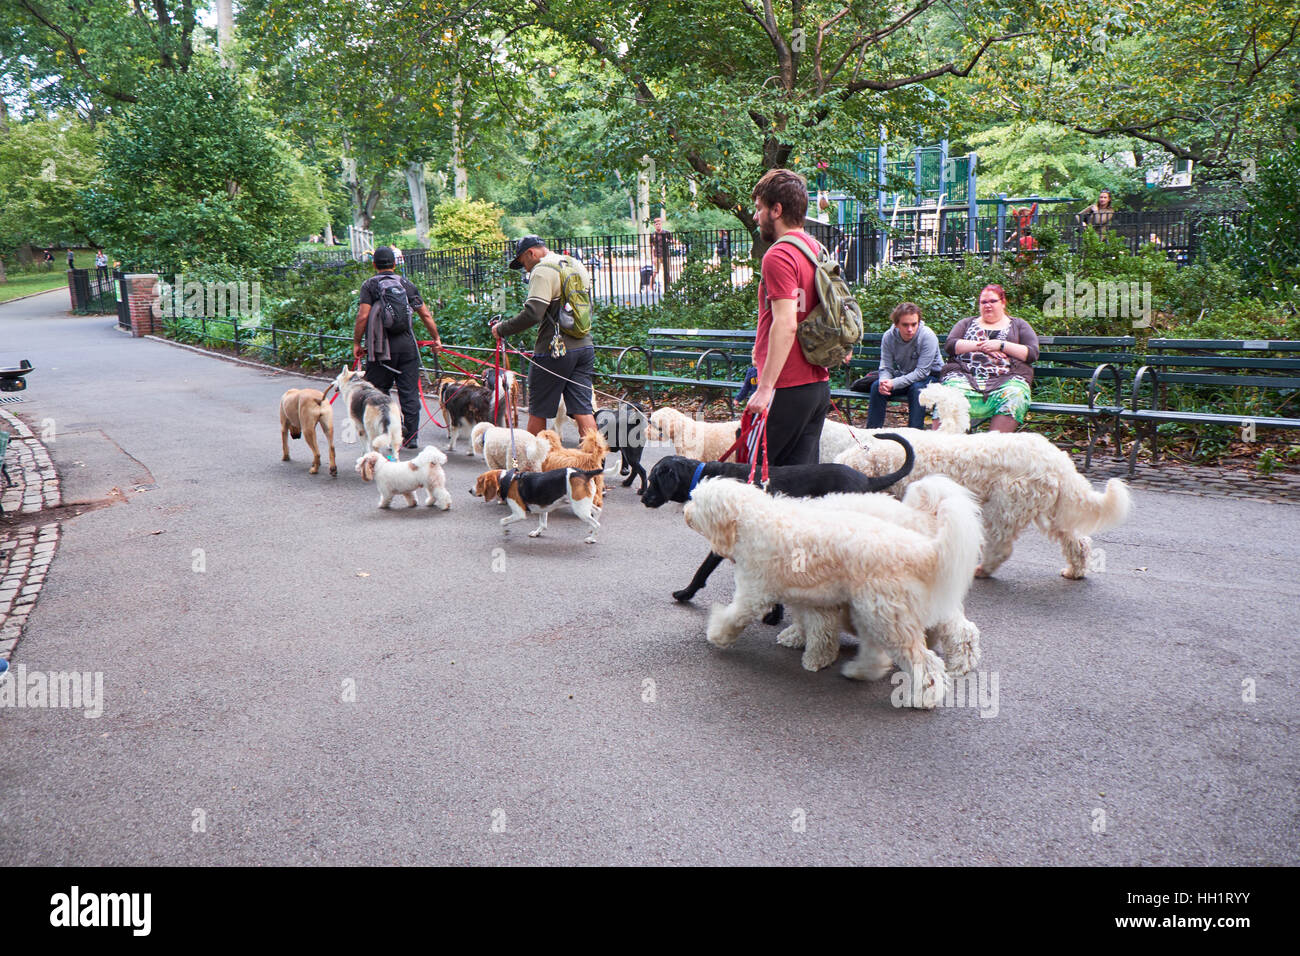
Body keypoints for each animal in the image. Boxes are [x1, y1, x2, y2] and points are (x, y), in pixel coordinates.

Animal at [642, 434, 915, 616]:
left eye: (654, 479)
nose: (643, 498)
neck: (703, 477)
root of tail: (867, 479)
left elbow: (702, 569)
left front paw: (685, 593)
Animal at [686, 478, 977, 712]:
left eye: (697, 502)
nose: (686, 512)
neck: (754, 518)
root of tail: (922, 545)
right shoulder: (809, 593)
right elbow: (816, 626)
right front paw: (814, 652)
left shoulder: (754, 593)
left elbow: (735, 615)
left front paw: (718, 634)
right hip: (873, 611)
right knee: (882, 650)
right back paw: (861, 670)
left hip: (888, 617)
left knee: (932, 657)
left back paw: (931, 689)